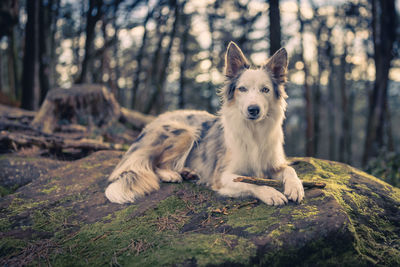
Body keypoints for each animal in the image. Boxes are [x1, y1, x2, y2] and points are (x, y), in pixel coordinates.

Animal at [104, 42, 304, 206]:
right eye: (242, 89)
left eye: (265, 90)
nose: (253, 110)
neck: (253, 131)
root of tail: (153, 121)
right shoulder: (222, 176)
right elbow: (250, 182)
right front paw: (271, 193)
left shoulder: (273, 164)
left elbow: (289, 169)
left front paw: (296, 187)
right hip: (186, 132)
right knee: (154, 164)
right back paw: (172, 174)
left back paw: (188, 172)